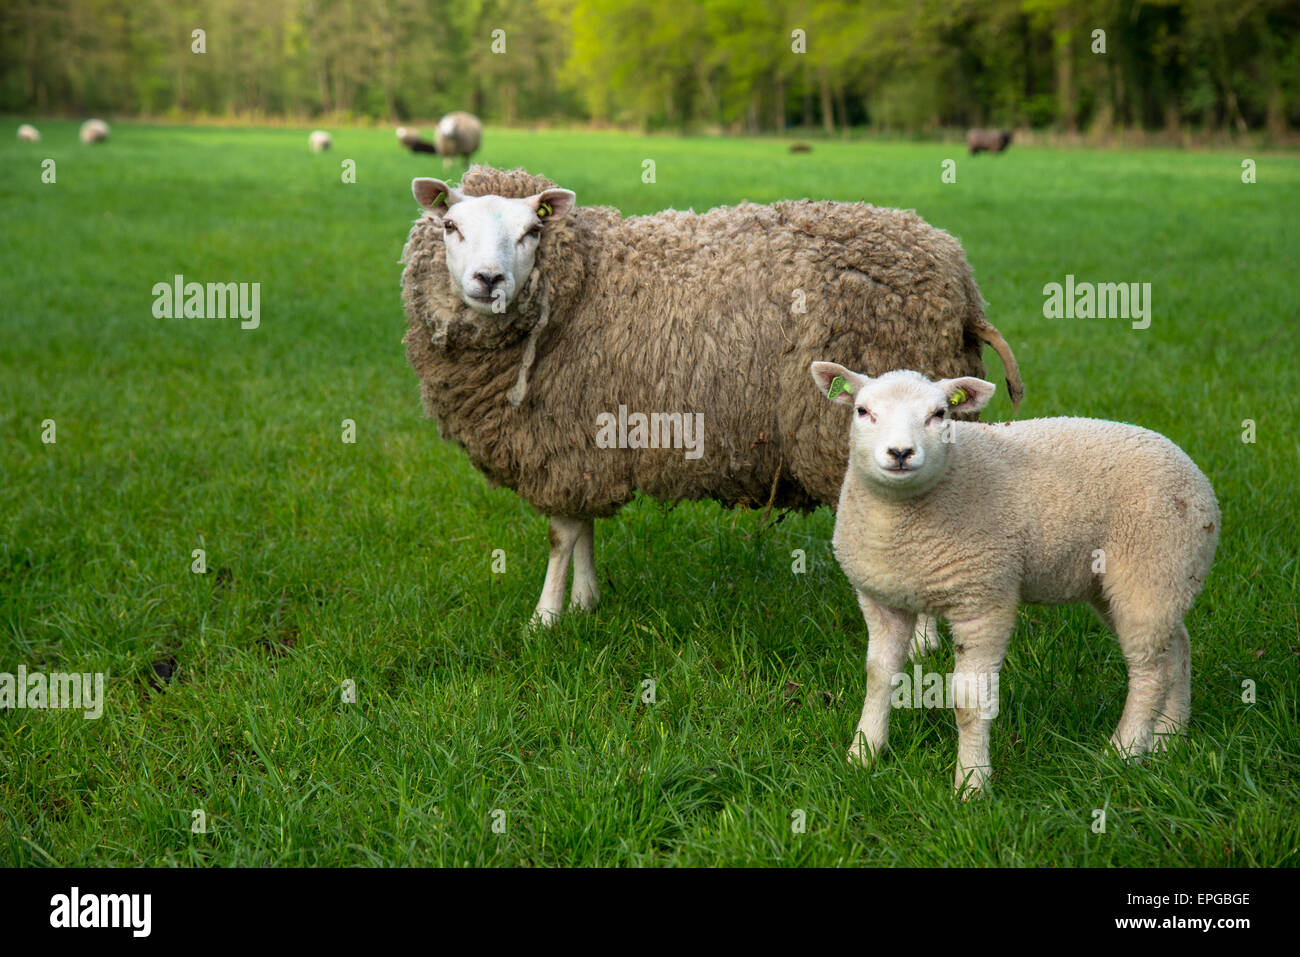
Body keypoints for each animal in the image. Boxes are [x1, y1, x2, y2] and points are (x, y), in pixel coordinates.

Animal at [397, 166, 1024, 629]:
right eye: (450, 225)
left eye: (532, 231)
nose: (488, 280)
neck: (581, 283)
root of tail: (959, 281)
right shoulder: (586, 447)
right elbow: (582, 529)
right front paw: (584, 604)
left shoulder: (559, 442)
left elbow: (560, 536)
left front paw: (544, 620)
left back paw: (920, 644)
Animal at [811, 361, 1216, 795]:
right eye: (862, 411)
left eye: (939, 414)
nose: (900, 453)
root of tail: (1194, 471)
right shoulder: (881, 600)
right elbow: (879, 677)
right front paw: (862, 755)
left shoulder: (983, 602)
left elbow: (969, 701)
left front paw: (972, 783)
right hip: (1141, 584)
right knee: (1177, 651)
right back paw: (1168, 740)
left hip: (1151, 571)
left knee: (1150, 673)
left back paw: (1122, 752)